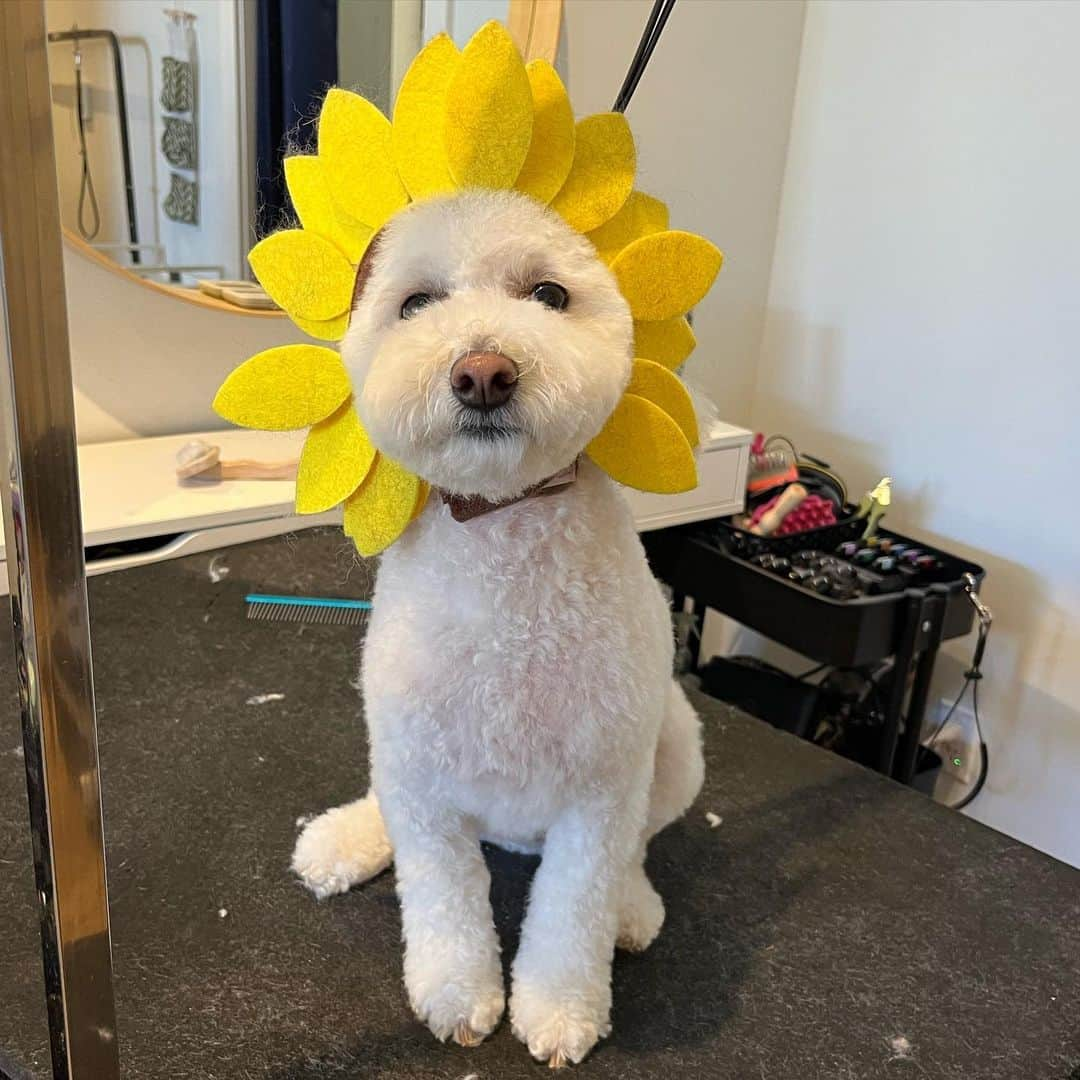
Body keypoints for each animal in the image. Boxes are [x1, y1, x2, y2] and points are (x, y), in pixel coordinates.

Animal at [291, 190, 704, 1067]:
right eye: (415, 303)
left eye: (548, 294)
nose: (482, 371)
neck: (504, 539)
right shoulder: (421, 778)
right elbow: (443, 900)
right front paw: (455, 992)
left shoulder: (599, 790)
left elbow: (575, 907)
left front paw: (559, 1008)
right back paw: (348, 837)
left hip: (676, 745)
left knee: (639, 845)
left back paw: (632, 906)